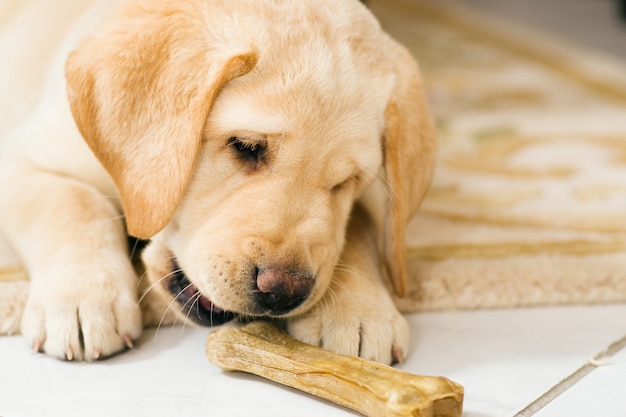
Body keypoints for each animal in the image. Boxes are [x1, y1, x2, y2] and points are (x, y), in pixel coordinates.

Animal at [0, 0, 434, 364]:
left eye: (347, 181)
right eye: (246, 147)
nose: (283, 291)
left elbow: (357, 227)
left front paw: (359, 308)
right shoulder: (23, 160)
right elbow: (73, 203)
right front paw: (84, 298)